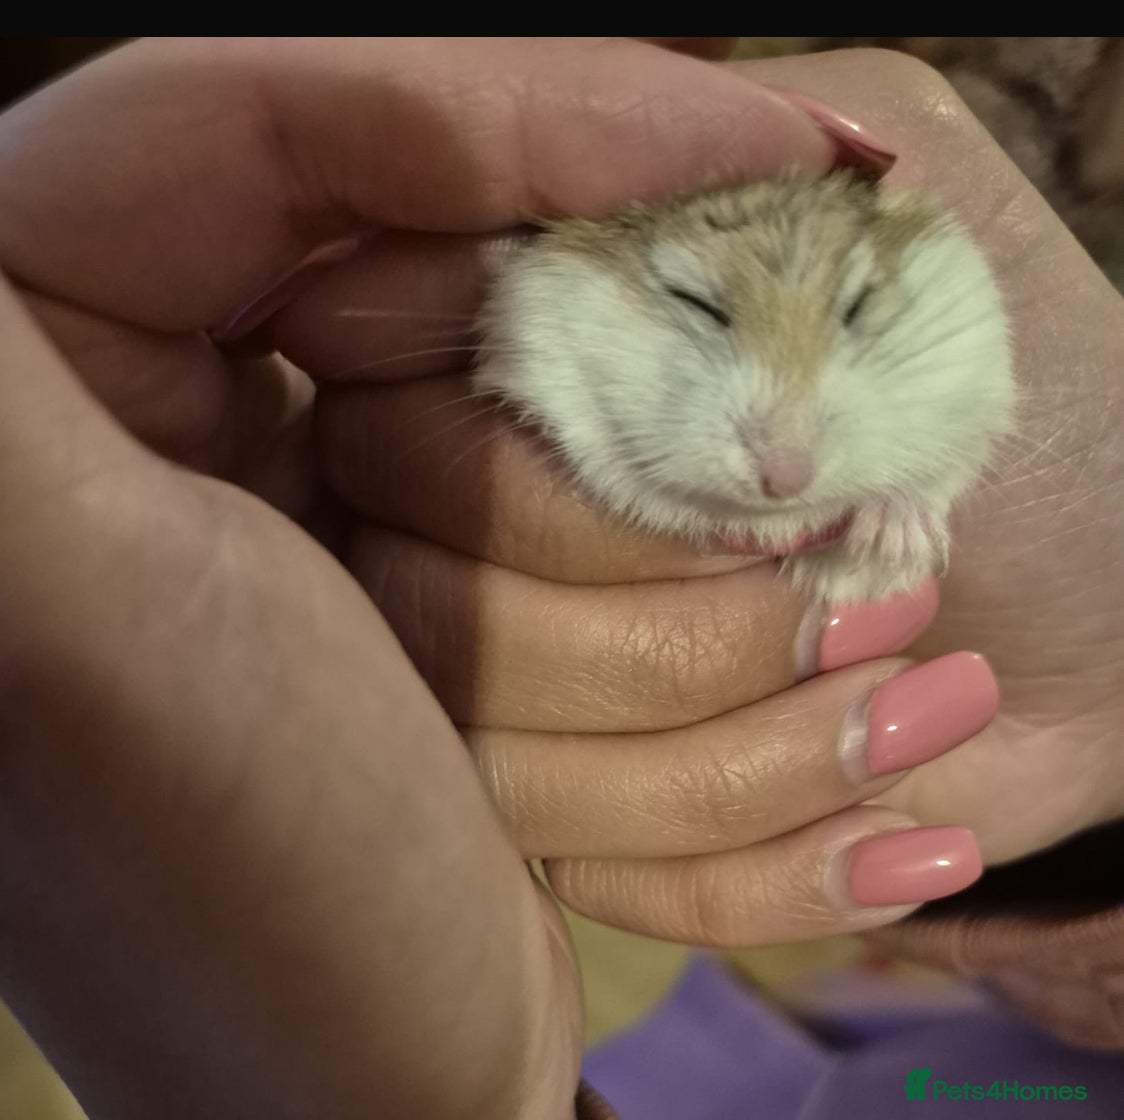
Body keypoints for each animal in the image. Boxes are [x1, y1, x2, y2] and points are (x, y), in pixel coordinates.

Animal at [474, 170, 1013, 604]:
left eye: (859, 304)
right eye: (694, 301)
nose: (784, 481)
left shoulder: (979, 393)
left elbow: (937, 475)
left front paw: (888, 538)